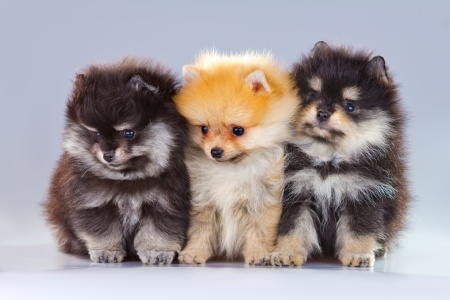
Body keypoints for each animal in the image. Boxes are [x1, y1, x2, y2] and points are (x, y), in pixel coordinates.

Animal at [45, 57, 192, 264]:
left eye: (128, 133)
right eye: (97, 135)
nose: (108, 154)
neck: (127, 179)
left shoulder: (167, 202)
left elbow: (159, 229)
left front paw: (157, 252)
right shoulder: (94, 201)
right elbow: (103, 231)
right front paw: (106, 252)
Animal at [175, 51, 298, 264]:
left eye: (238, 130)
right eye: (204, 129)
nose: (215, 151)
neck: (232, 169)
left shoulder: (262, 200)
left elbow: (259, 231)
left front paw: (259, 254)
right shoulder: (203, 201)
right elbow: (200, 230)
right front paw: (193, 252)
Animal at [270, 41, 412, 268]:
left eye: (350, 106)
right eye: (313, 95)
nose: (322, 113)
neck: (328, 160)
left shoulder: (364, 194)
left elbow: (359, 230)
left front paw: (357, 255)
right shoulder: (295, 191)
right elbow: (292, 227)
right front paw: (287, 252)